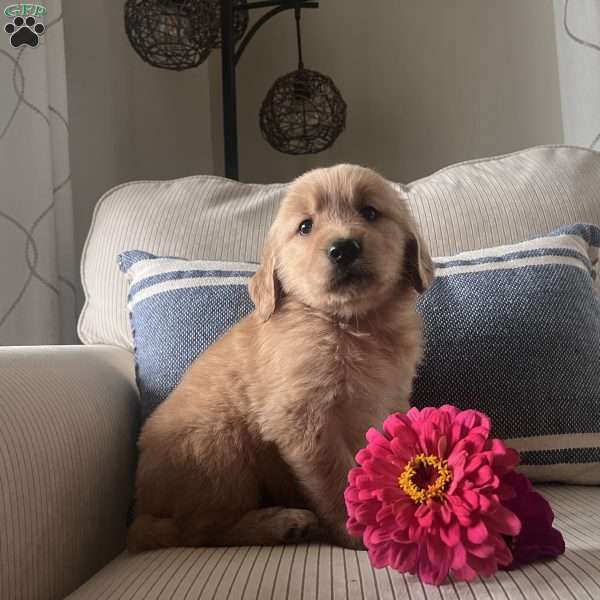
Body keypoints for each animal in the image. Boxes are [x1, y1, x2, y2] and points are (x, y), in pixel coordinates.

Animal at [129, 164, 434, 552]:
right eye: (305, 226)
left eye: (369, 212)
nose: (343, 248)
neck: (351, 325)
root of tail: (141, 512)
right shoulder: (304, 418)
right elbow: (337, 478)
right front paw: (356, 528)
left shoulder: (387, 401)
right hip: (218, 445)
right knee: (201, 531)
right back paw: (282, 523)